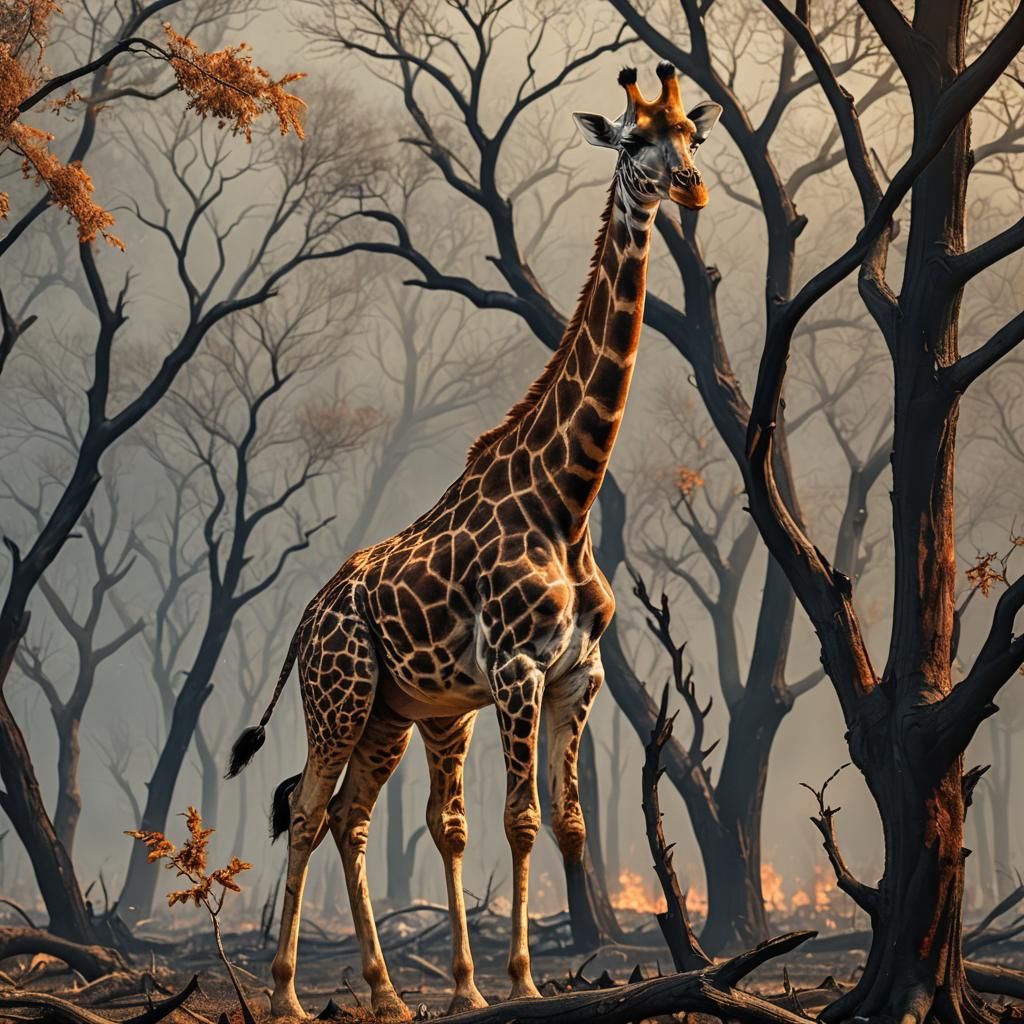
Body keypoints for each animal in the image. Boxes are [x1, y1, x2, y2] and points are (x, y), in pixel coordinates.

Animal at [226, 61, 721, 1023]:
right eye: (634, 139)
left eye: (692, 135)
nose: (690, 187)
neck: (568, 501)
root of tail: (306, 618)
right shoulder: (517, 668)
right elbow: (519, 821)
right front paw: (522, 981)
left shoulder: (578, 674)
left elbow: (564, 822)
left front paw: (501, 982)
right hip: (339, 698)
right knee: (305, 811)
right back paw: (288, 994)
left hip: (395, 712)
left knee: (352, 817)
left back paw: (388, 994)